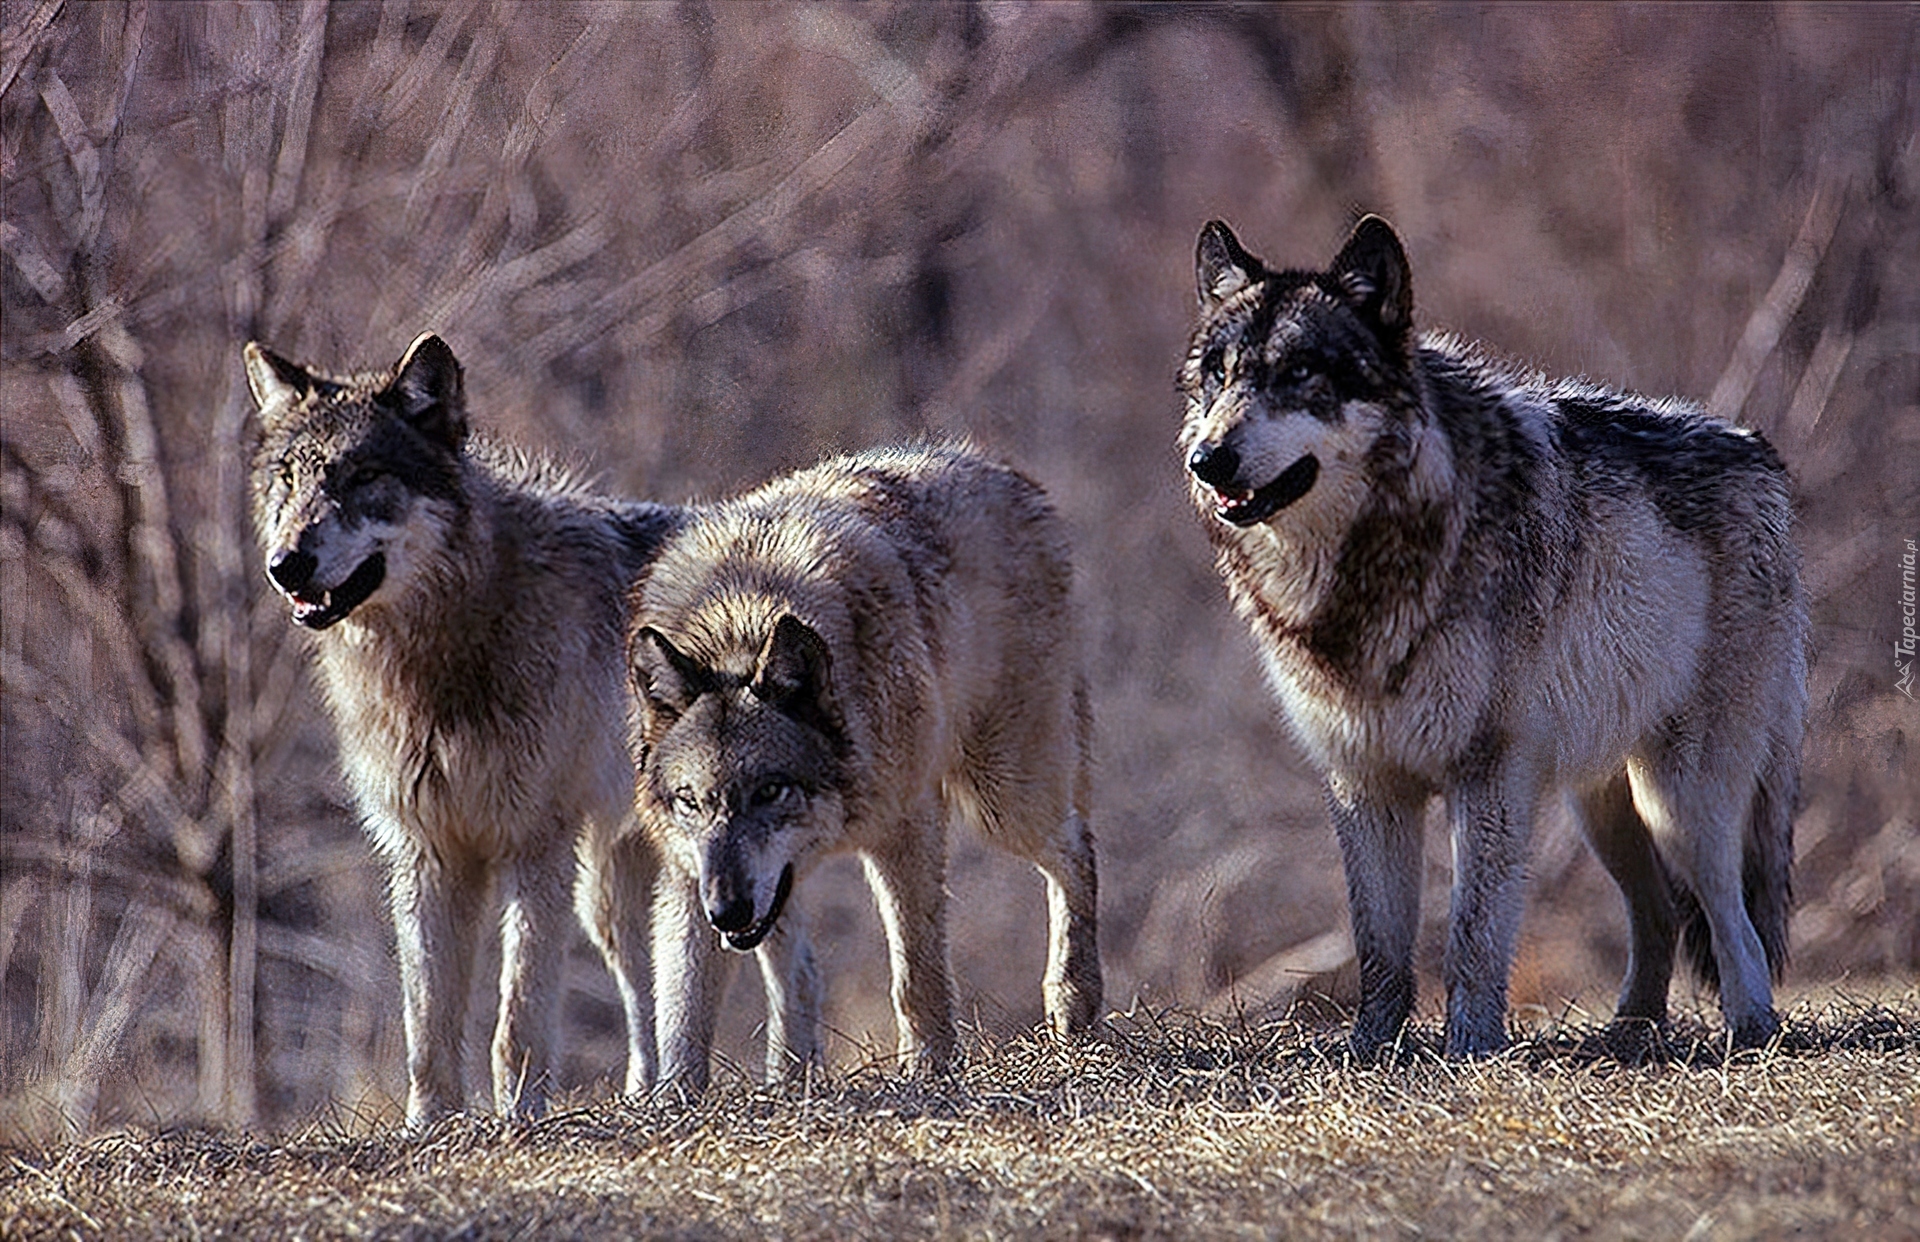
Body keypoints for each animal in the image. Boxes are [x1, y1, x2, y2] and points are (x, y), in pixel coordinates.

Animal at [245, 332, 683, 1128]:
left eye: (362, 477)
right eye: (288, 479)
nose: (286, 564)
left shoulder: (534, 845)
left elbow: (517, 1017)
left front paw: (521, 1116)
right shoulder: (428, 852)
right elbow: (428, 1022)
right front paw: (428, 1125)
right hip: (606, 895)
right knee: (646, 991)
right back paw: (652, 1096)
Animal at [629, 439, 1105, 1090]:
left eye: (770, 790)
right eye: (689, 801)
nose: (727, 910)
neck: (740, 624)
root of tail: (1007, 474)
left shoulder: (905, 829)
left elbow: (915, 976)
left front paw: (929, 1069)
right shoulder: (687, 873)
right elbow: (681, 1010)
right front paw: (671, 1099)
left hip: (1003, 798)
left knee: (1077, 849)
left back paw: (1074, 1000)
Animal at [1175, 215, 1804, 1059]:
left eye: (1299, 373)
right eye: (1218, 376)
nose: (1207, 459)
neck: (1375, 564)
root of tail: (1758, 450)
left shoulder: (1489, 772)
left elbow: (1472, 934)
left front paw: (1470, 1045)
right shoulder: (1364, 782)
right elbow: (1379, 945)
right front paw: (1372, 1049)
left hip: (1684, 797)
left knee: (1731, 916)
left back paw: (1752, 1028)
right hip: (1602, 807)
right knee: (1662, 912)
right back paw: (1629, 1034)